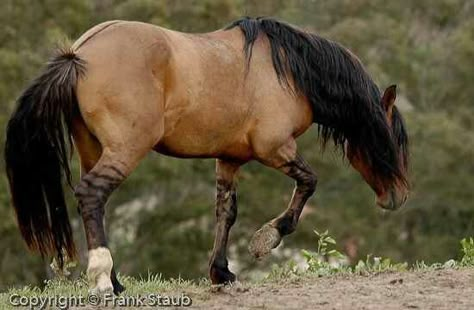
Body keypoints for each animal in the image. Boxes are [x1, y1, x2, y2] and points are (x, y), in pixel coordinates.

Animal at [4, 16, 408, 294]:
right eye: (394, 140)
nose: (398, 197)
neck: (288, 71)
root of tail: (79, 54)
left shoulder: (229, 159)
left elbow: (225, 212)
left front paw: (221, 272)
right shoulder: (276, 149)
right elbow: (308, 183)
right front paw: (267, 238)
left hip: (93, 148)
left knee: (95, 205)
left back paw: (116, 282)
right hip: (125, 149)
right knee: (92, 194)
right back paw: (104, 281)